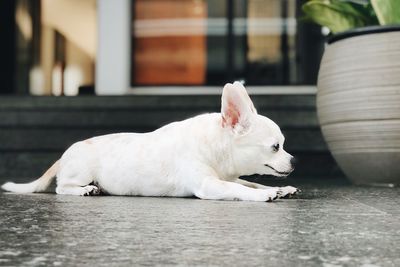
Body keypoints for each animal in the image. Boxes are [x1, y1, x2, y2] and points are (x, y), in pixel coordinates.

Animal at [1, 82, 298, 202]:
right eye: (276, 147)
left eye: (283, 145)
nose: (294, 160)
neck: (216, 147)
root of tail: (63, 156)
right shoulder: (209, 185)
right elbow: (240, 188)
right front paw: (264, 194)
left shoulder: (228, 176)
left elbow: (249, 182)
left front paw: (280, 189)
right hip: (81, 171)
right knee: (62, 187)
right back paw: (85, 190)